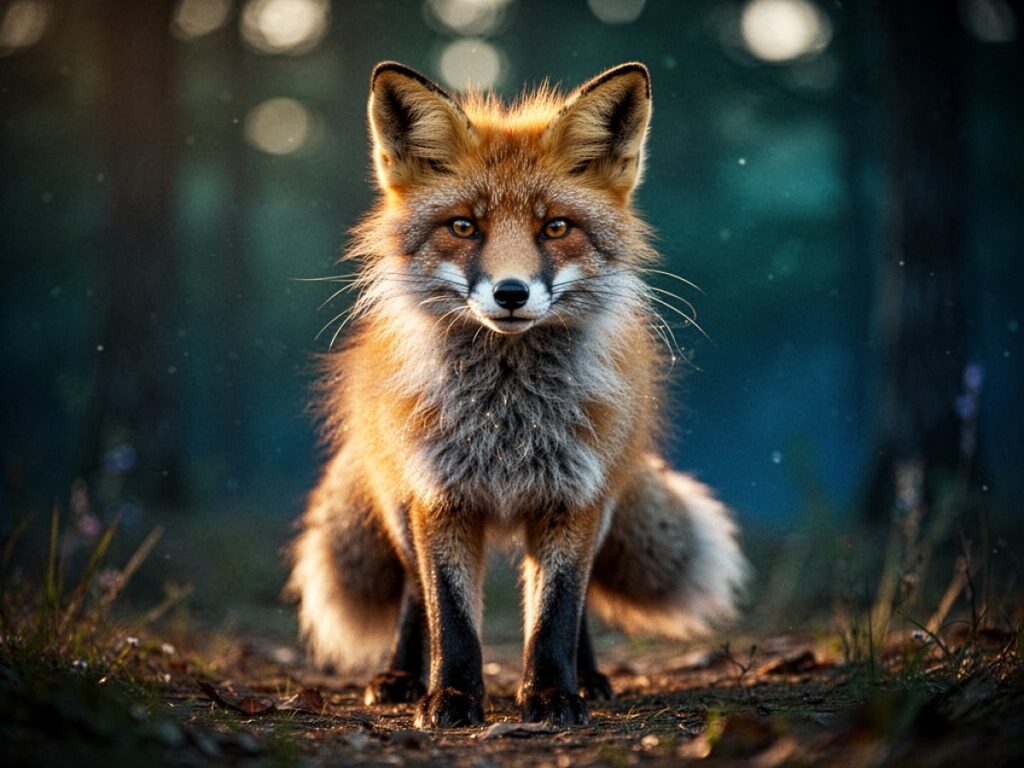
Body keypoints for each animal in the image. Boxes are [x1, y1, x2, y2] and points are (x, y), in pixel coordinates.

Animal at [286, 61, 749, 728]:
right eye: (464, 226)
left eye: (554, 227)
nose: (510, 293)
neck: (508, 418)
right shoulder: (440, 497)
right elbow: (450, 616)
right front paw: (451, 697)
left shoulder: (573, 496)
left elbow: (556, 611)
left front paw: (553, 694)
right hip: (398, 506)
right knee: (413, 593)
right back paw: (402, 677)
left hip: (599, 502)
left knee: (575, 605)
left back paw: (590, 677)